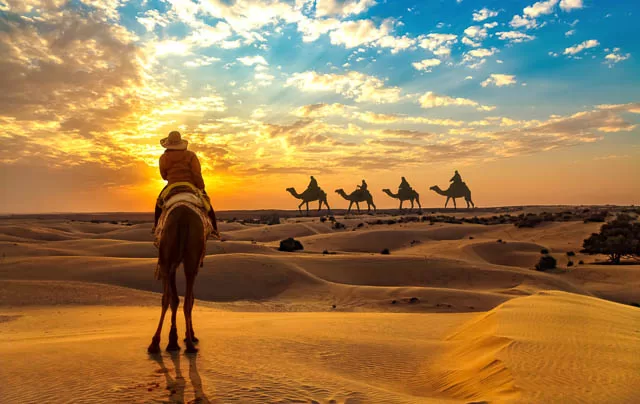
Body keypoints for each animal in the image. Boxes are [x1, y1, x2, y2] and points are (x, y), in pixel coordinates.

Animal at [149, 205, 204, 354]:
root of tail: (183, 217)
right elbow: (182, 299)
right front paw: (176, 340)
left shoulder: (167, 265)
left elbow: (172, 299)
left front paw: (172, 340)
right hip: (191, 257)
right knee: (187, 300)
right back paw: (190, 344)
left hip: (166, 260)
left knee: (167, 298)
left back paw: (155, 343)